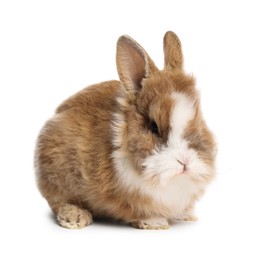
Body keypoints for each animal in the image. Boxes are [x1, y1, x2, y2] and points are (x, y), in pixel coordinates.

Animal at [34, 32, 216, 230]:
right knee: (58, 201)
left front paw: (187, 215)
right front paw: (156, 223)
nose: (185, 161)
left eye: (199, 121)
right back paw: (75, 217)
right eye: (154, 126)